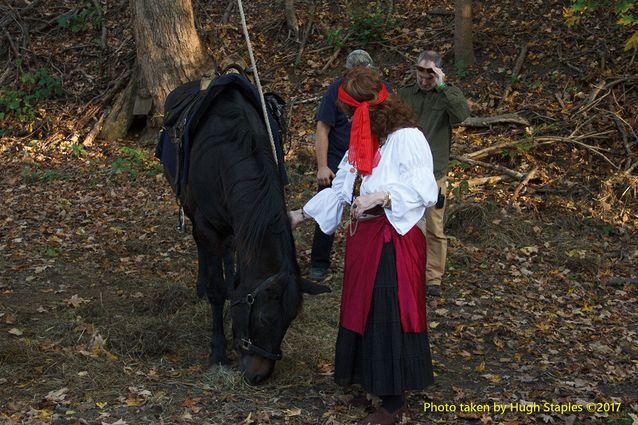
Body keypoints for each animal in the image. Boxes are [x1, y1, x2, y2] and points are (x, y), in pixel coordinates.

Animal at [159, 73, 330, 384]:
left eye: (289, 321)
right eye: (263, 318)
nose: (259, 376)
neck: (228, 153)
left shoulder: (243, 224)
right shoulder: (206, 226)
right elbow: (216, 289)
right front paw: (218, 351)